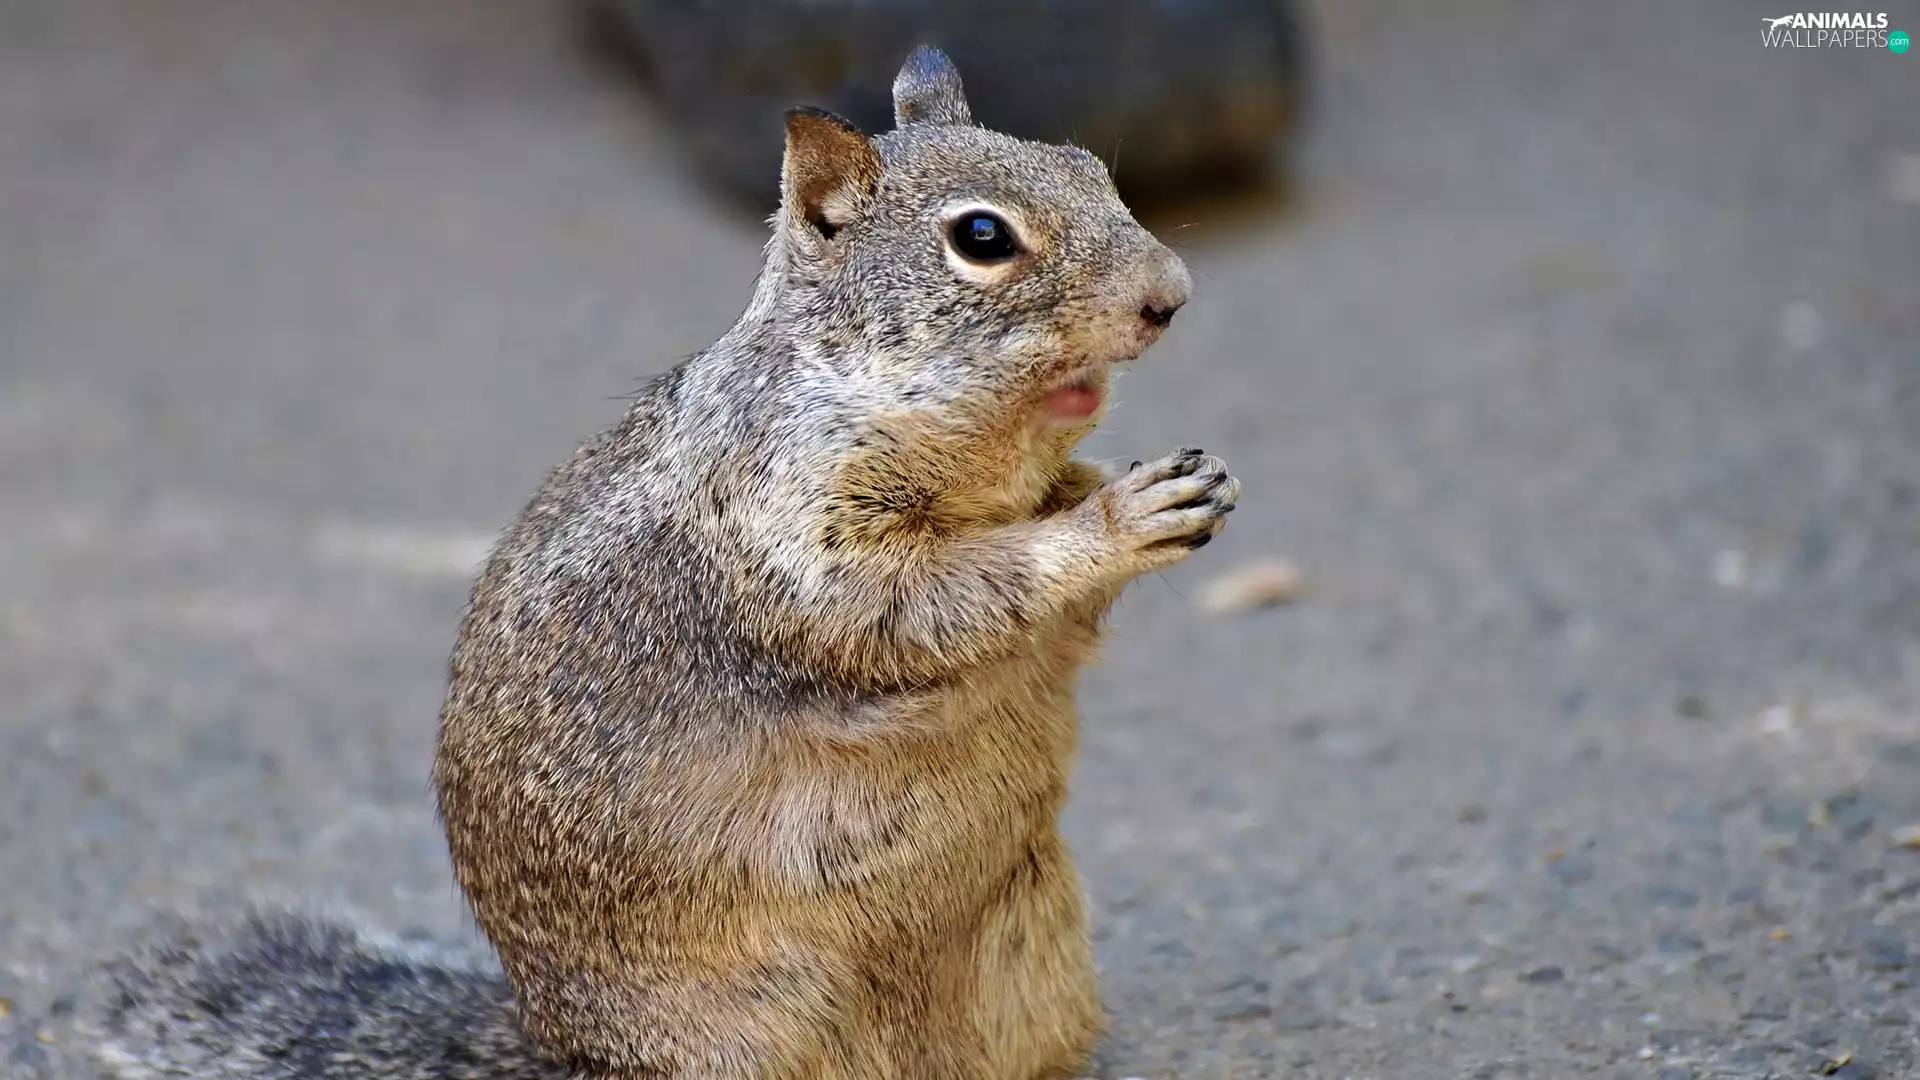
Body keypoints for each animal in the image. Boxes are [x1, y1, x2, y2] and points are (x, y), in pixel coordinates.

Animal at [81, 46, 1238, 1080]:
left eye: (1086, 163)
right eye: (982, 238)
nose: (1173, 294)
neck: (981, 459)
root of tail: (559, 1050)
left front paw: (1170, 483)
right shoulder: (790, 525)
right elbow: (914, 604)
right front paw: (1121, 517)